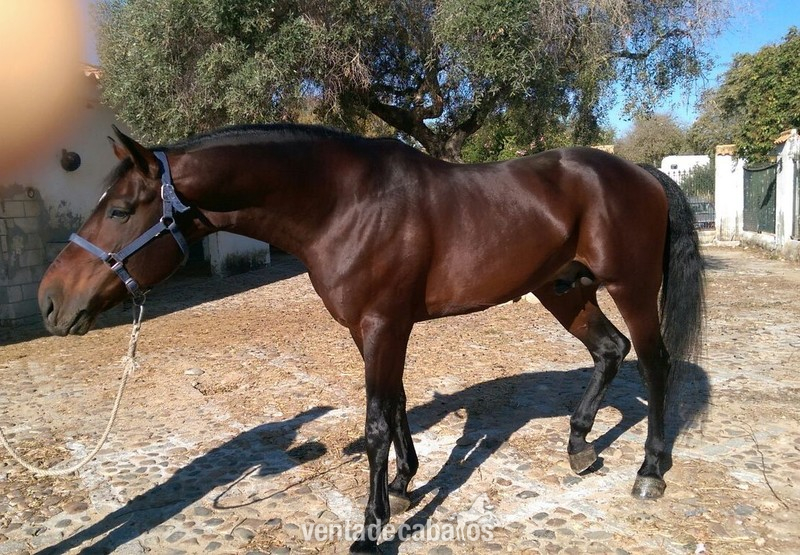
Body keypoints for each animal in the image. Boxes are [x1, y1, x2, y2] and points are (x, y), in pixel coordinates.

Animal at [38, 124, 704, 553]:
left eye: (120, 210)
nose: (49, 302)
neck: (345, 203)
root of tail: (640, 171)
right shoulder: (373, 328)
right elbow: (397, 402)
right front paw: (407, 483)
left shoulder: (384, 324)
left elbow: (377, 422)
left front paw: (372, 525)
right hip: (564, 289)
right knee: (609, 352)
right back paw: (580, 447)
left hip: (630, 286)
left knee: (655, 363)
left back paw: (650, 470)